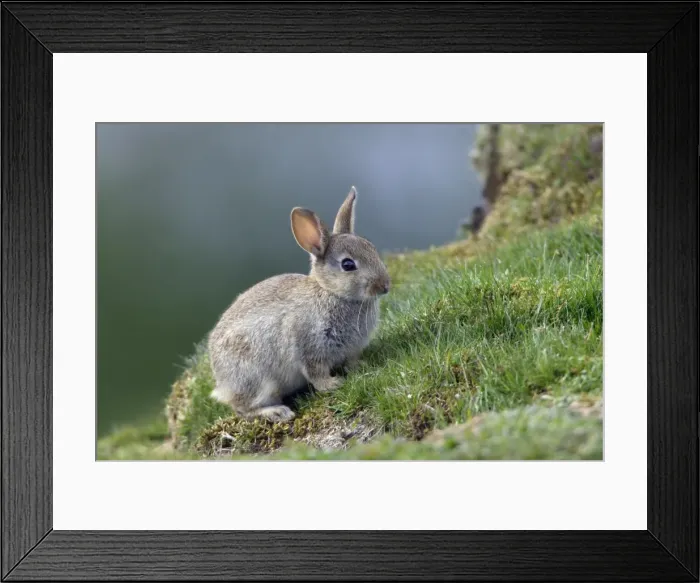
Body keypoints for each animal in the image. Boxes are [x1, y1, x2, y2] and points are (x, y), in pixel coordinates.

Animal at [207, 186, 391, 423]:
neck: (331, 292)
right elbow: (315, 372)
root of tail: (222, 385)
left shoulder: (350, 350)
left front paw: (362, 367)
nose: (385, 285)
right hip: (257, 380)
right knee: (243, 409)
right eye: (348, 265)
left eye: (372, 248)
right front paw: (333, 384)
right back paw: (277, 412)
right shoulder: (309, 346)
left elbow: (351, 361)